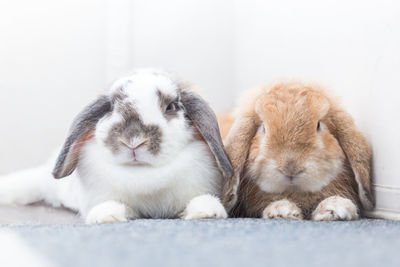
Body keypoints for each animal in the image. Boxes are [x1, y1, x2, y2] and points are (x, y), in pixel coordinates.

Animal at [0, 69, 233, 224]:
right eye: (111, 107)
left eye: (171, 106)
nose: (133, 140)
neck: (144, 174)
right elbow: (111, 204)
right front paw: (106, 217)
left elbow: (199, 199)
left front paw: (207, 212)